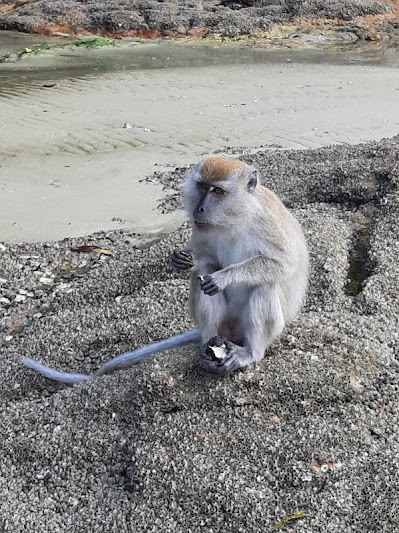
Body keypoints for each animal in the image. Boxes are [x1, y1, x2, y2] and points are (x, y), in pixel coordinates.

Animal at [21, 154, 310, 382]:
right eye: (202, 186)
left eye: (217, 191)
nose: (200, 208)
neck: (237, 217)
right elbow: (204, 260)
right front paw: (183, 260)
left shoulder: (266, 223)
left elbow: (281, 264)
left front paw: (224, 277)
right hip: (225, 325)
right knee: (201, 281)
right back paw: (208, 344)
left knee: (265, 283)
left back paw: (251, 352)